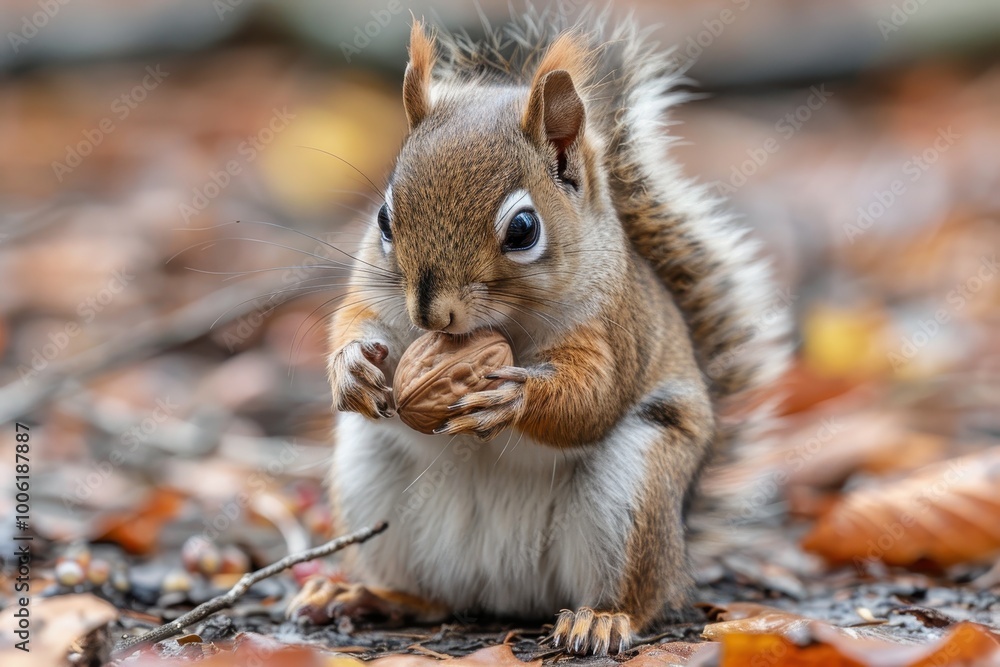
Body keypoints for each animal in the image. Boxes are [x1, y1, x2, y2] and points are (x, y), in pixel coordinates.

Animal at [287, 7, 787, 657]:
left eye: (524, 229)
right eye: (383, 219)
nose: (430, 315)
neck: (501, 327)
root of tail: (505, 593)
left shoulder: (612, 331)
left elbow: (590, 400)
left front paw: (513, 396)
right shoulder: (374, 296)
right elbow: (352, 321)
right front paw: (351, 368)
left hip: (635, 490)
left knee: (638, 597)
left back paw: (601, 620)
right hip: (372, 479)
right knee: (428, 597)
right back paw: (365, 595)